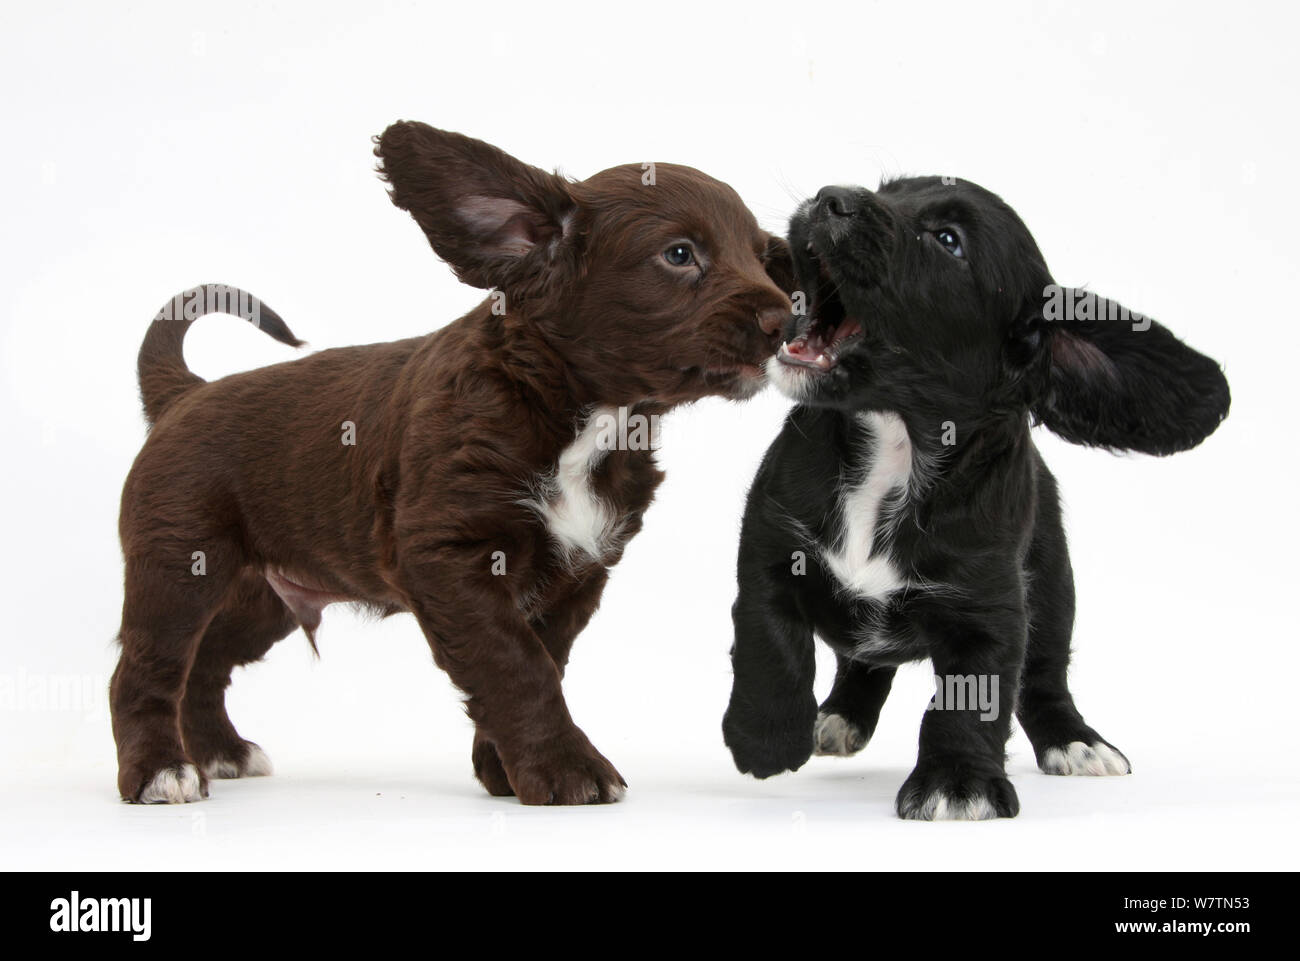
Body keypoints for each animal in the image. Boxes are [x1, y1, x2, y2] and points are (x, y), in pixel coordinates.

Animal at [116, 124, 790, 806]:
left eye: (765, 258)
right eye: (679, 255)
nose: (785, 319)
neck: (579, 417)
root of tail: (185, 393)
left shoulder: (576, 576)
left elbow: (538, 661)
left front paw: (505, 770)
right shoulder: (448, 557)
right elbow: (516, 665)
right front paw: (566, 770)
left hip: (266, 594)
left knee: (206, 663)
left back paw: (220, 752)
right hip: (180, 568)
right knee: (146, 668)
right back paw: (160, 772)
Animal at [722, 178, 1227, 821]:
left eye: (948, 240)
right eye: (886, 191)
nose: (832, 196)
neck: (895, 447)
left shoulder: (989, 612)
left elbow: (969, 702)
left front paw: (957, 783)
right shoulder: (769, 550)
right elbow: (771, 643)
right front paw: (764, 738)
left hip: (1052, 590)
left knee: (1045, 680)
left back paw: (1076, 742)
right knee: (863, 660)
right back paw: (838, 718)